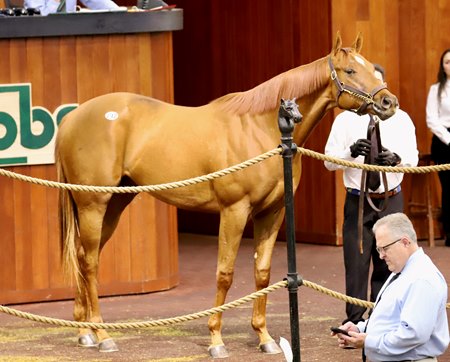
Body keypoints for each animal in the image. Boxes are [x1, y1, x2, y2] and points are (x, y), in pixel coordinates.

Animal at [55, 33, 398, 356]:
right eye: (350, 70)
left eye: (372, 68)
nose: (388, 102)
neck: (261, 128)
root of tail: (72, 118)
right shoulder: (234, 210)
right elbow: (225, 273)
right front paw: (216, 339)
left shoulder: (272, 213)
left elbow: (262, 273)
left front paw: (264, 338)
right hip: (93, 205)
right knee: (89, 263)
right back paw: (102, 335)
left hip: (114, 203)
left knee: (85, 256)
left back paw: (84, 331)